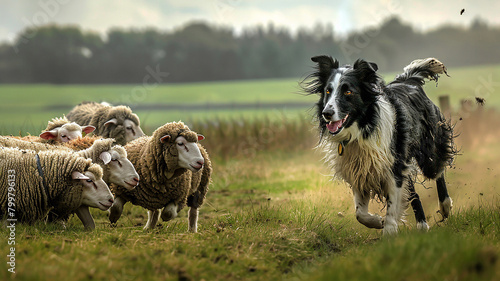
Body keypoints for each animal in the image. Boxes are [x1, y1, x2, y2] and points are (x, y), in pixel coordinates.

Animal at [304, 55, 458, 233]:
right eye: (327, 91)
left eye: (348, 91)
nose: (327, 113)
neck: (362, 129)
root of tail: (407, 81)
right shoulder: (360, 171)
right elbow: (360, 214)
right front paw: (378, 221)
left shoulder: (393, 168)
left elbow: (392, 205)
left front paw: (389, 230)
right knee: (414, 193)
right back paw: (422, 225)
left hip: (428, 152)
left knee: (438, 171)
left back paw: (445, 207)